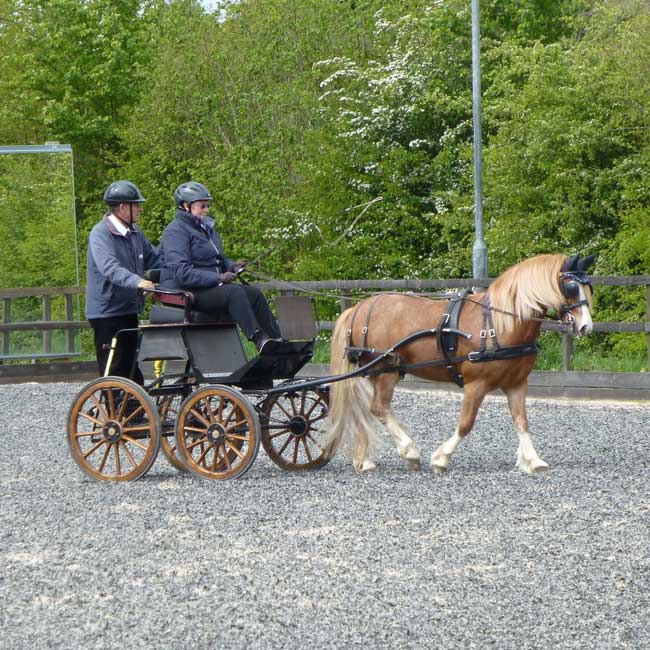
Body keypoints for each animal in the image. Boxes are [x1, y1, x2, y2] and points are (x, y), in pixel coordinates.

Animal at [324, 252, 592, 470]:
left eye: (589, 288)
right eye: (570, 287)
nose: (586, 326)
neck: (498, 325)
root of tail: (359, 307)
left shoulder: (516, 383)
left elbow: (521, 422)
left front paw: (533, 460)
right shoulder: (476, 383)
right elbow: (466, 423)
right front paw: (441, 458)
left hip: (375, 372)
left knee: (365, 410)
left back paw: (364, 460)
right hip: (385, 370)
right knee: (378, 408)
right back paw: (409, 451)